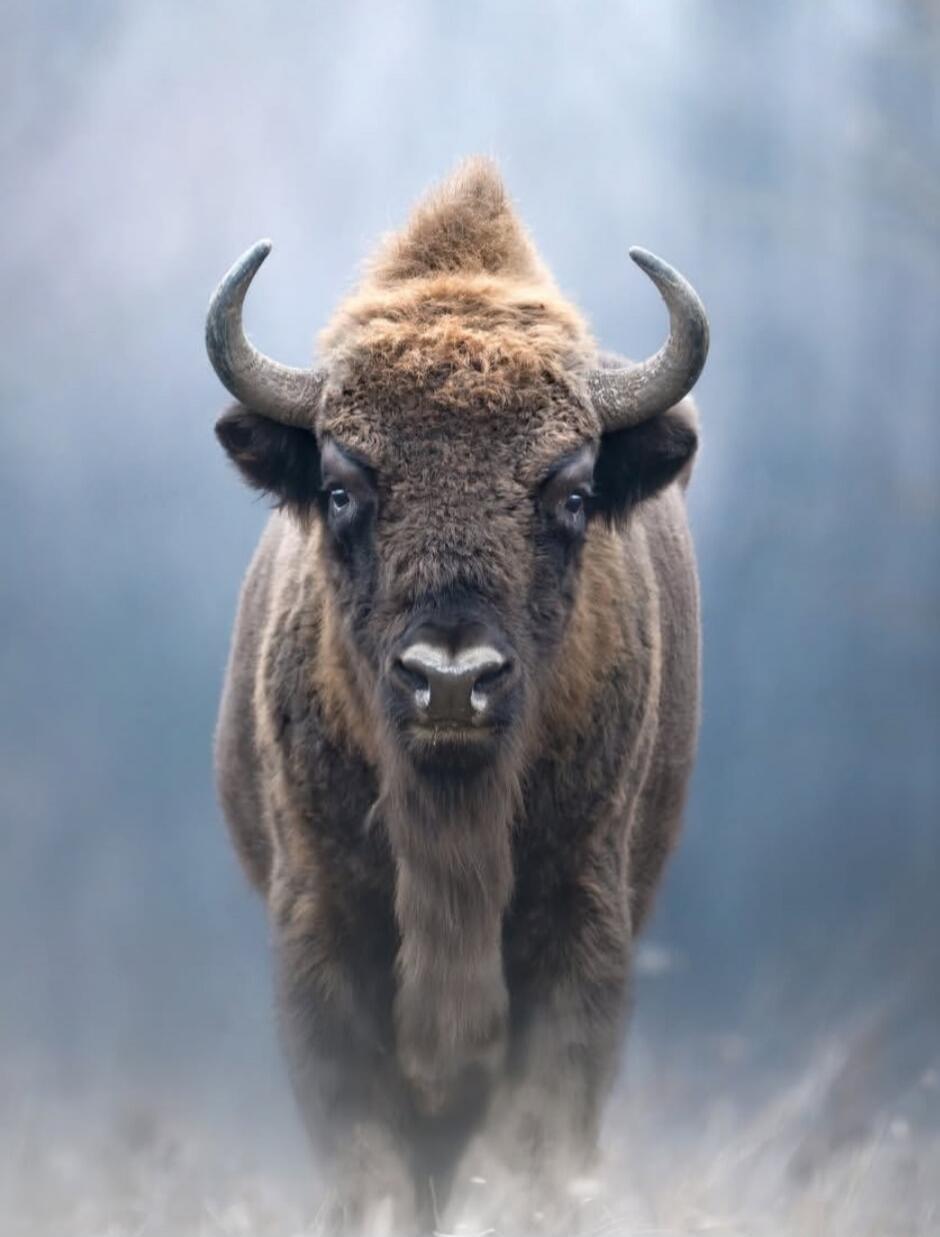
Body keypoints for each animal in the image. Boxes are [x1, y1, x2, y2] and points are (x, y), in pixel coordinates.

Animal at [206, 158, 709, 1235]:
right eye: (344, 488)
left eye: (571, 494)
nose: (449, 680)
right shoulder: (321, 925)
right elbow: (370, 1152)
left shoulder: (581, 924)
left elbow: (530, 1141)